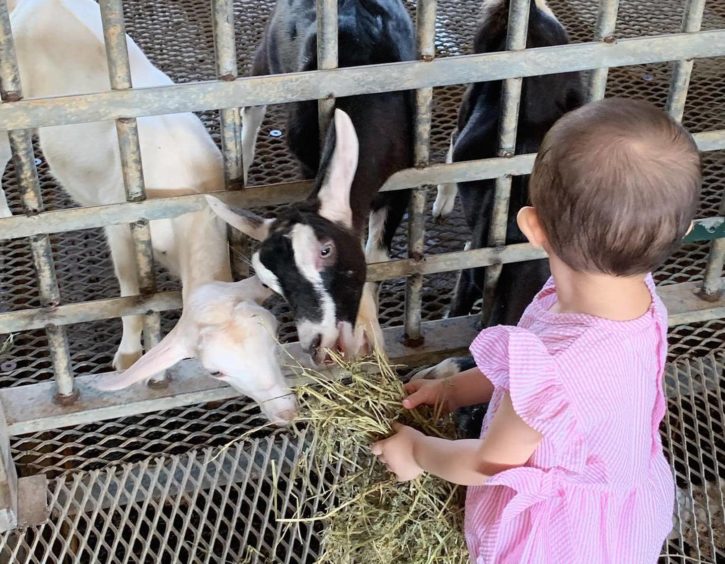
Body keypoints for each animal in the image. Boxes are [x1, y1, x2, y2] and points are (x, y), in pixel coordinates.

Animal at [208, 0, 412, 364]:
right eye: (272, 284)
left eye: (325, 251)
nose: (316, 344)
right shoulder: (306, 161)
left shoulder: (402, 183)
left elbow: (375, 256)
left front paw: (367, 331)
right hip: (270, 56)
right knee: (252, 102)